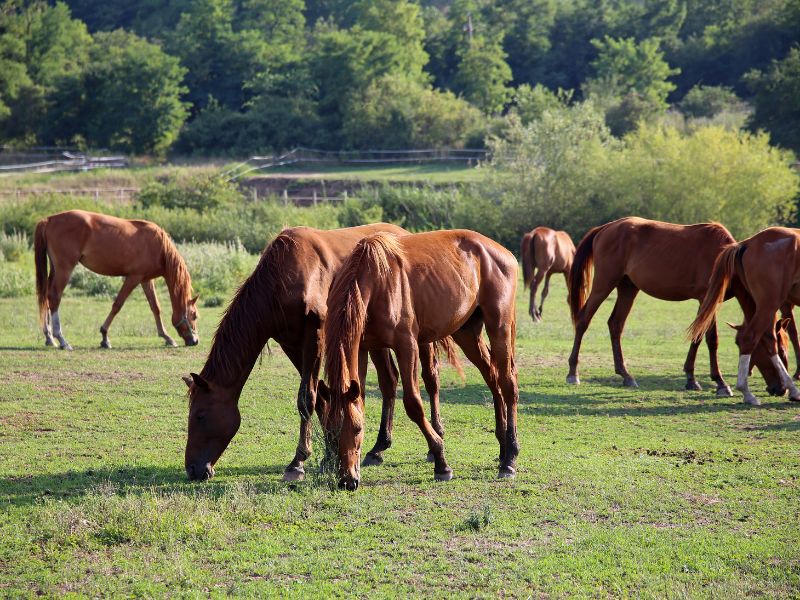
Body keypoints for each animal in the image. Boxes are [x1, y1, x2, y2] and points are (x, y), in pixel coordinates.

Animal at [35, 211, 200, 352]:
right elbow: (117, 305)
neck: (159, 247)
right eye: (194, 315)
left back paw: (49, 337)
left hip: (55, 270)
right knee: (54, 298)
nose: (195, 341)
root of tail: (49, 220)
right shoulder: (133, 278)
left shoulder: (146, 280)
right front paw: (104, 337)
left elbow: (155, 307)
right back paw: (62, 340)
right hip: (64, 269)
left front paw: (167, 337)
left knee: (47, 297)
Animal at [184, 225, 454, 482]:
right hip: (374, 340)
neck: (283, 278)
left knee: (430, 377)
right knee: (389, 380)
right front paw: (330, 453)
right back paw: (378, 448)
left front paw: (297, 463)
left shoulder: (315, 335)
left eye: (200, 415)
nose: (193, 469)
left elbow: (307, 398)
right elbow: (321, 398)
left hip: (417, 337)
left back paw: (435, 445)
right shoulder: (291, 343)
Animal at [324, 231, 520, 492]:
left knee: (508, 384)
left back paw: (510, 458)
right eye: (330, 431)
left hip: (499, 326)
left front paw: (441, 463)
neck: (376, 279)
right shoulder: (364, 348)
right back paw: (502, 447)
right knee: (492, 377)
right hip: (467, 333)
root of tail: (502, 252)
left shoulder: (407, 346)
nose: (348, 480)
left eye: (357, 429)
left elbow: (413, 404)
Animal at [568, 218, 788, 396]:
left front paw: (691, 379)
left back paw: (626, 375)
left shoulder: (705, 303)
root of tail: (605, 228)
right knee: (583, 320)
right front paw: (720, 383)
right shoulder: (707, 299)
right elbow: (711, 339)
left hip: (628, 287)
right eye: (776, 349)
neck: (725, 258)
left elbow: (697, 338)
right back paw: (573, 373)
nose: (781, 389)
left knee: (616, 324)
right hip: (604, 283)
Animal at [688, 227, 800, 406]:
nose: (778, 390)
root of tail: (746, 243)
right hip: (770, 302)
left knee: (767, 339)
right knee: (752, 337)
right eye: (783, 350)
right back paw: (747, 392)